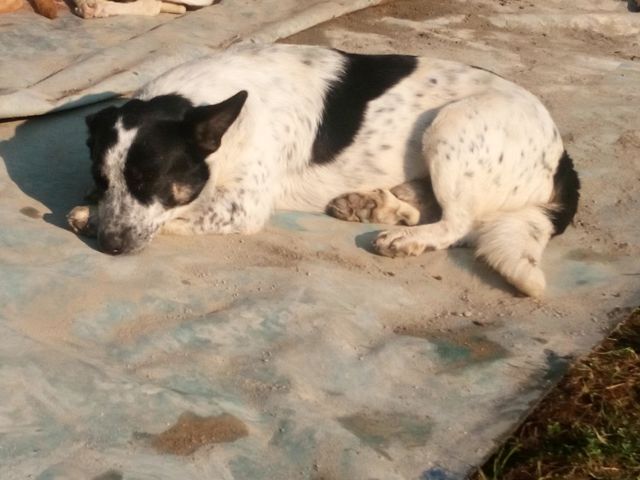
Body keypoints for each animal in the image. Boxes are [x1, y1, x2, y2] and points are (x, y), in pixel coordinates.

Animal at [67, 42, 580, 297]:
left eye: (150, 180)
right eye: (101, 179)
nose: (110, 246)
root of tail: (560, 152)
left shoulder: (240, 209)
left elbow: (174, 217)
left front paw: (90, 218)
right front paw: (91, 211)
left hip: (452, 125)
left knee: (460, 224)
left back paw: (405, 238)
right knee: (425, 204)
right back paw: (373, 205)